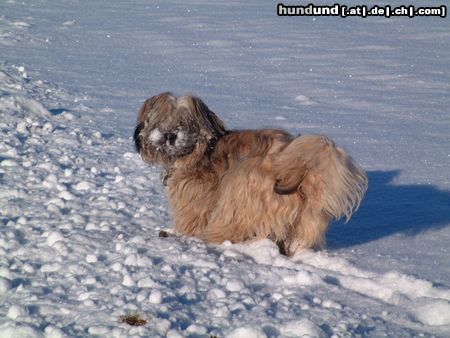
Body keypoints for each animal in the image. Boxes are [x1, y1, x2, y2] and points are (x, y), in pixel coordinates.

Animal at [133, 91, 366, 255]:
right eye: (161, 121)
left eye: (186, 123)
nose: (170, 135)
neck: (201, 150)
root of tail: (300, 170)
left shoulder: (195, 198)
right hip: (307, 219)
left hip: (244, 184)